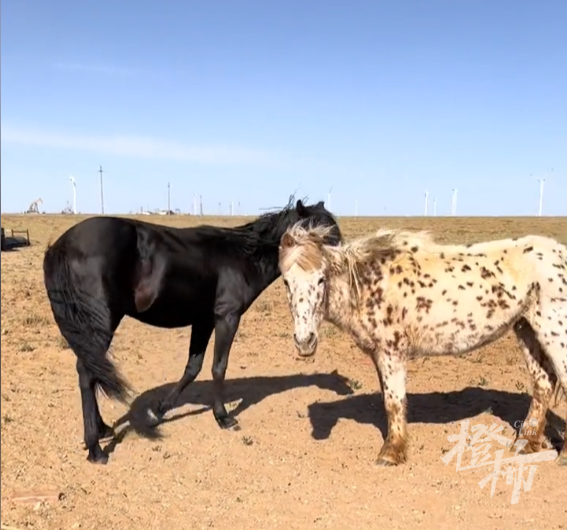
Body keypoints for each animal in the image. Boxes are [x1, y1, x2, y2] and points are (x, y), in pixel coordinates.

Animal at [43, 195, 342, 462]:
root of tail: (60, 245)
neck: (242, 257)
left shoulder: (203, 321)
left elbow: (193, 368)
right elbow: (218, 367)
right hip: (101, 322)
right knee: (87, 372)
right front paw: (223, 417)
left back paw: (103, 429)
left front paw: (158, 412)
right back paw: (95, 448)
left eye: (336, 235)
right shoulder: (226, 317)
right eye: (317, 237)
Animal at [278, 221, 567, 464]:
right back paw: (527, 443)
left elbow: (393, 401)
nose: (304, 341)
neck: (370, 283)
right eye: (286, 282)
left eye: (321, 279)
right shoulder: (378, 355)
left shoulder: (391, 352)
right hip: (527, 330)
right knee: (542, 384)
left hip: (554, 335)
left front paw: (391, 453)